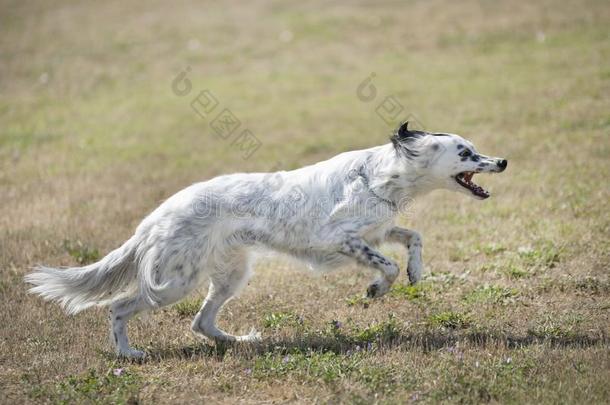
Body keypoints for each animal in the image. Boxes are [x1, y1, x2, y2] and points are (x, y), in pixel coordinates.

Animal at [25, 121, 504, 358]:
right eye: (465, 153)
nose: (502, 161)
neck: (381, 175)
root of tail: (158, 213)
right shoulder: (341, 238)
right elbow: (384, 263)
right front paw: (376, 288)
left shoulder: (380, 230)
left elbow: (413, 237)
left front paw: (416, 272)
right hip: (174, 282)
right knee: (119, 308)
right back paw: (128, 354)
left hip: (230, 276)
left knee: (201, 322)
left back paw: (241, 343)